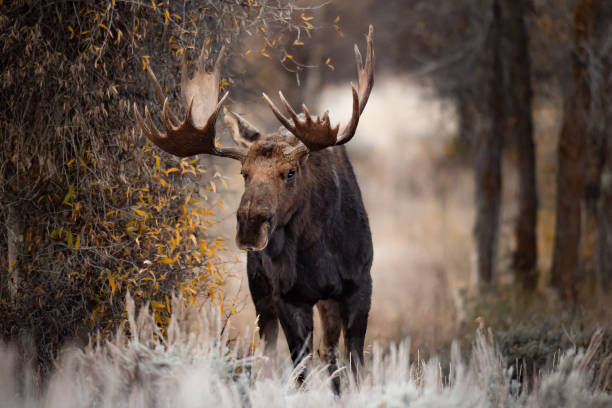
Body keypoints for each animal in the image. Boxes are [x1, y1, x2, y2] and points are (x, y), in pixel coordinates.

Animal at [133, 25, 372, 392]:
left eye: (290, 172)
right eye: (244, 173)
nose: (249, 224)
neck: (320, 250)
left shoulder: (360, 284)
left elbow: (354, 362)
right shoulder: (288, 296)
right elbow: (300, 369)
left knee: (331, 353)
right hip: (260, 290)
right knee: (274, 352)